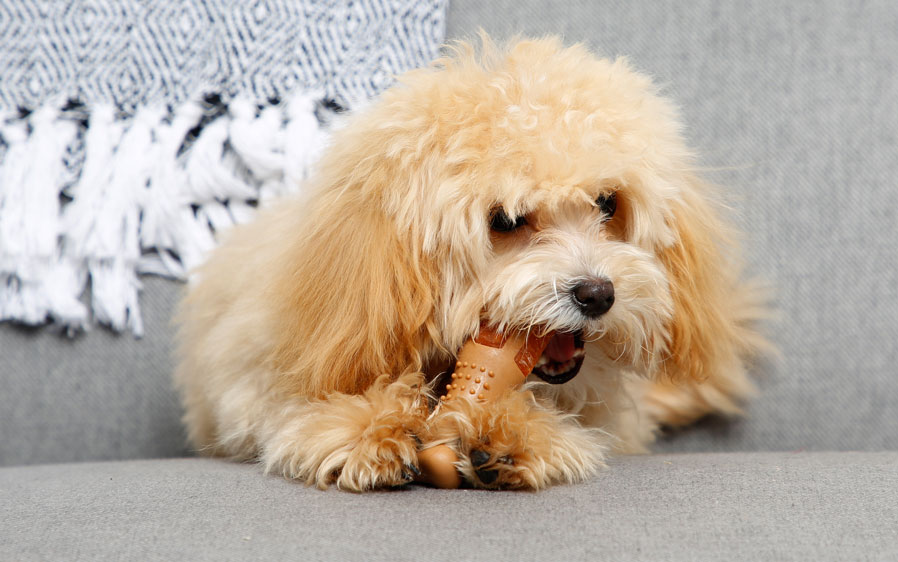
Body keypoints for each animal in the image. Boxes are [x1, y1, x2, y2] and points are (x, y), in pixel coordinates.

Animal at [173, 36, 764, 490]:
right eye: (505, 220)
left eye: (607, 203)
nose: (597, 294)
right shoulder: (251, 381)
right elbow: (292, 410)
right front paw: (367, 428)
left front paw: (509, 434)